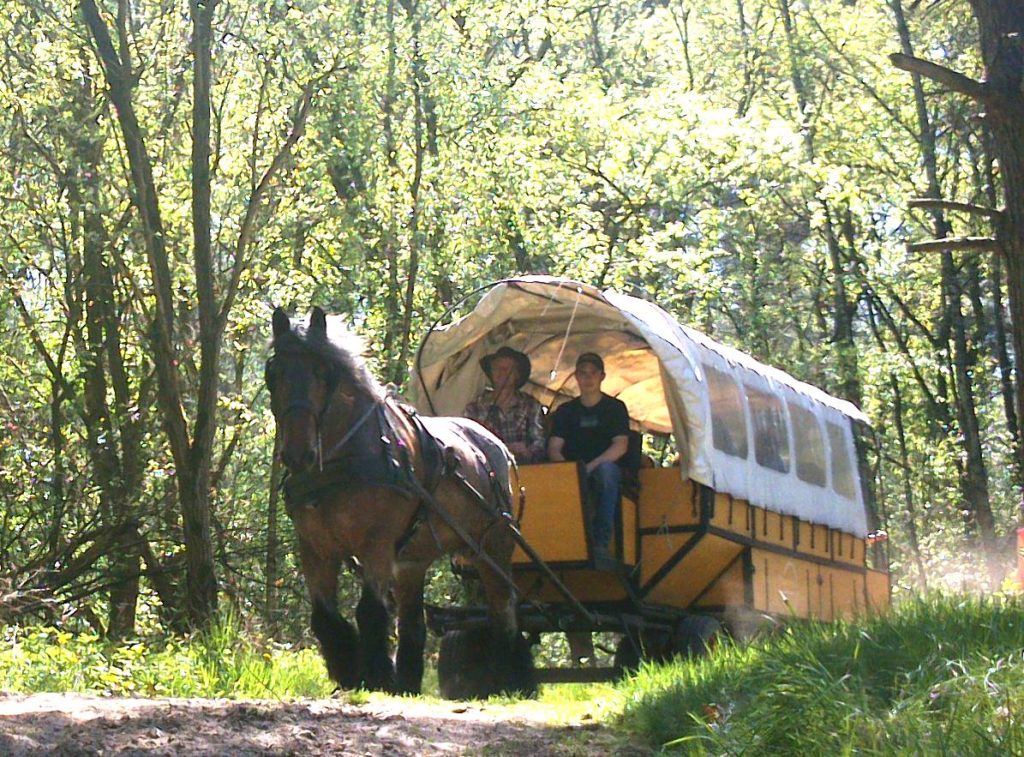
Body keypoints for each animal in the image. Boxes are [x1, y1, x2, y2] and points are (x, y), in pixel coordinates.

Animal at [264, 309, 536, 700]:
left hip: (493, 547)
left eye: (322, 372)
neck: (343, 460)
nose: (298, 454)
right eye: (274, 373)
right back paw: (409, 681)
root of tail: (498, 446)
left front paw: (375, 676)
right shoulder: (315, 548)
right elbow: (324, 617)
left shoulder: (375, 543)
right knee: (414, 623)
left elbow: (370, 611)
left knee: (504, 609)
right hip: (412, 560)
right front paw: (350, 672)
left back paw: (512, 678)